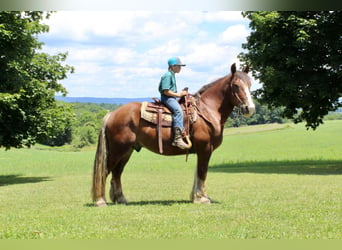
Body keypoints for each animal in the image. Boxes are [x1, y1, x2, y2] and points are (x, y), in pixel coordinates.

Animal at [92, 63, 255, 207]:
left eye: (250, 84)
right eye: (236, 85)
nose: (250, 108)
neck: (207, 110)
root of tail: (112, 114)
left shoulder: (201, 150)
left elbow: (198, 173)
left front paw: (196, 197)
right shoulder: (205, 149)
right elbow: (202, 172)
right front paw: (202, 198)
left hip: (126, 151)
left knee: (117, 173)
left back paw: (120, 199)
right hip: (116, 151)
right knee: (105, 171)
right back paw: (100, 201)